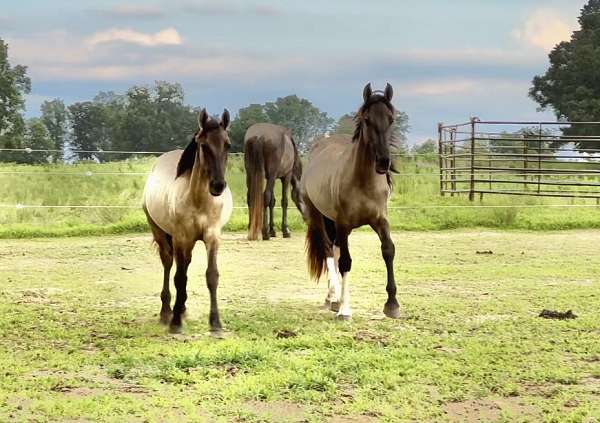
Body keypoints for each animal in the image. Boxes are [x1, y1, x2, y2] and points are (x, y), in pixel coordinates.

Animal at [142, 108, 232, 334]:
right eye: (203, 145)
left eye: (227, 144)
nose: (218, 185)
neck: (199, 200)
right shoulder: (181, 238)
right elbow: (179, 277)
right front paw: (175, 323)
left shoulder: (212, 237)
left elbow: (212, 276)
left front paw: (215, 323)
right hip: (162, 233)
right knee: (168, 264)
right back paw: (167, 312)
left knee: (185, 264)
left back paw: (181, 309)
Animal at [302, 83, 400, 322]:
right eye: (367, 120)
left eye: (391, 119)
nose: (383, 162)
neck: (362, 181)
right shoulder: (344, 224)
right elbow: (346, 262)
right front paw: (345, 310)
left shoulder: (380, 221)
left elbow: (388, 250)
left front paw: (392, 304)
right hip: (319, 218)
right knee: (330, 253)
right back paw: (335, 299)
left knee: (335, 252)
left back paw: (332, 299)